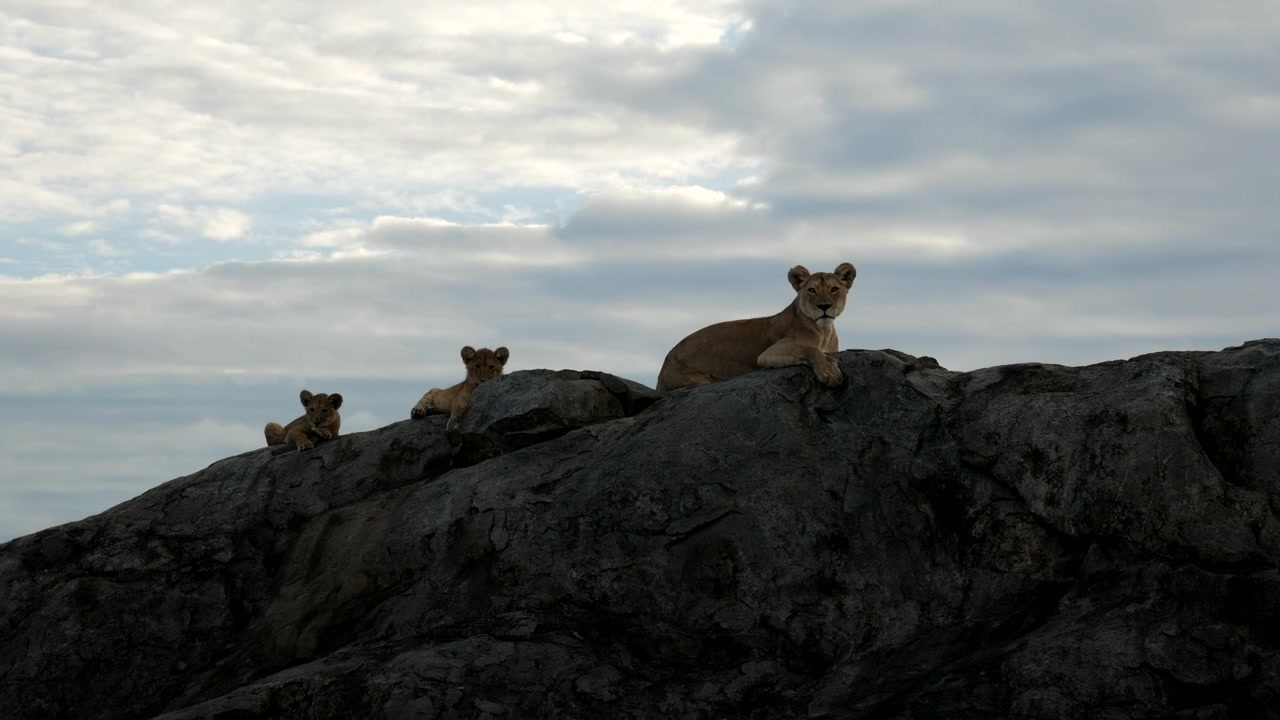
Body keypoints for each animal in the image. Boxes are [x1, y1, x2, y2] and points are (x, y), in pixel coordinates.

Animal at [656, 262, 856, 393]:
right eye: (812, 290)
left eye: (834, 289)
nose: (824, 306)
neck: (825, 330)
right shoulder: (769, 353)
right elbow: (808, 349)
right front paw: (829, 372)